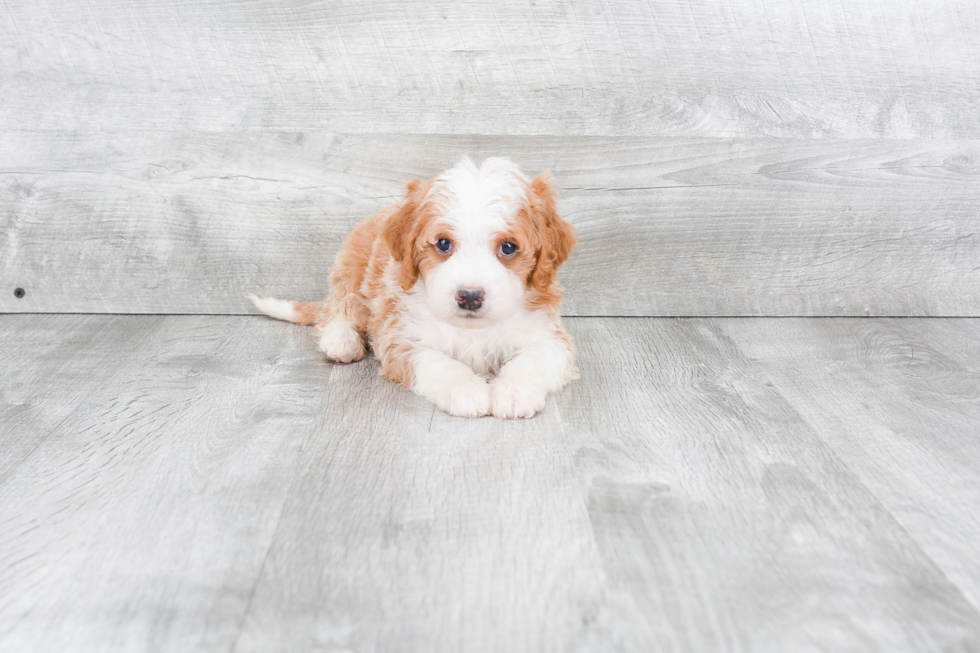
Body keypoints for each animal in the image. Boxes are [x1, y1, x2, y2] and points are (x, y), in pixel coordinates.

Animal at [249, 157, 580, 418]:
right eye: (443, 243)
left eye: (509, 247)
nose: (470, 297)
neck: (472, 330)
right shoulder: (403, 338)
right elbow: (439, 363)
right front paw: (467, 390)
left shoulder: (548, 336)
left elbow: (531, 361)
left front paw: (513, 393)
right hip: (352, 265)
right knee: (340, 308)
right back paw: (341, 341)